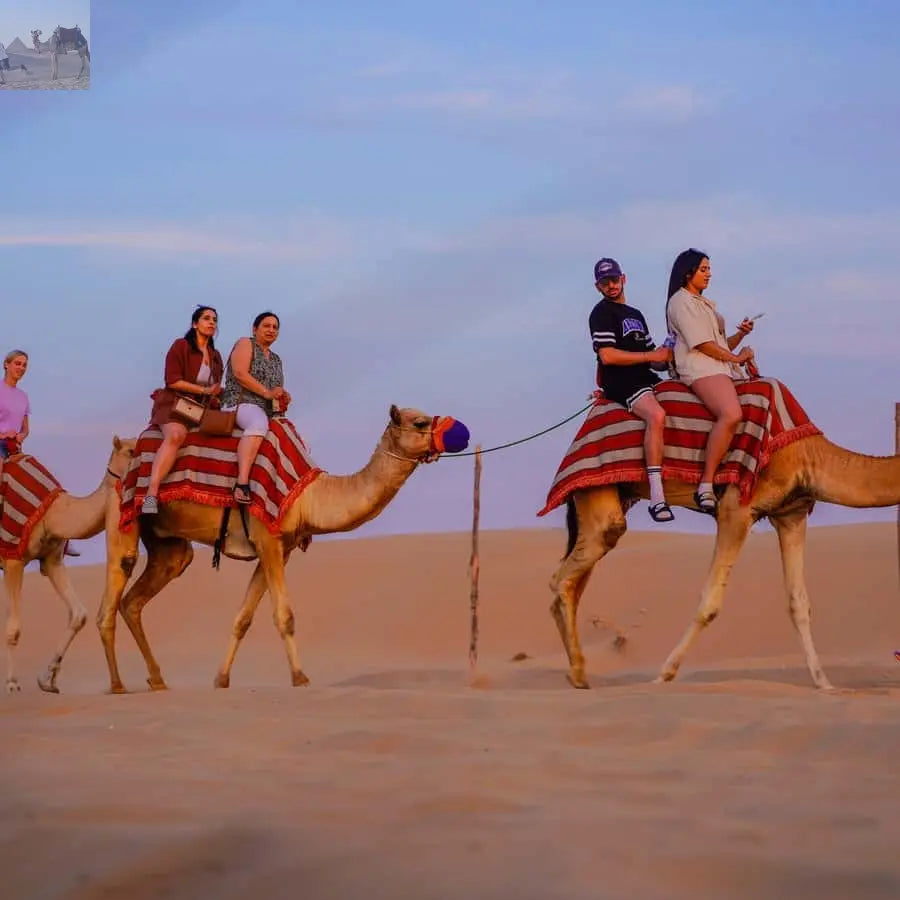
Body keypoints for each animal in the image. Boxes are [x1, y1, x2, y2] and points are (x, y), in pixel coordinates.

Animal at [1, 436, 136, 694]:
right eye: (131, 450)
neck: (53, 514)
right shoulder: (13, 558)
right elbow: (13, 629)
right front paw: (12, 683)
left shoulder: (53, 559)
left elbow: (78, 615)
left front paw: (47, 680)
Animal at [98, 405, 466, 693]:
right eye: (419, 422)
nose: (460, 431)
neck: (307, 496)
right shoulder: (267, 538)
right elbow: (284, 616)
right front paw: (300, 677)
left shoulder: (279, 548)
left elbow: (243, 618)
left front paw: (221, 679)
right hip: (124, 513)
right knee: (115, 589)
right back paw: (117, 684)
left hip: (168, 546)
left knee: (136, 599)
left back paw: (157, 679)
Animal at [550, 434, 900, 691]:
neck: (810, 456)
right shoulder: (737, 508)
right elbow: (710, 601)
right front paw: (664, 674)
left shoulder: (791, 514)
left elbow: (799, 602)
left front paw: (825, 683)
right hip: (597, 498)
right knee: (563, 578)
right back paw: (578, 673)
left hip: (612, 499)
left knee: (572, 580)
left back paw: (575, 670)